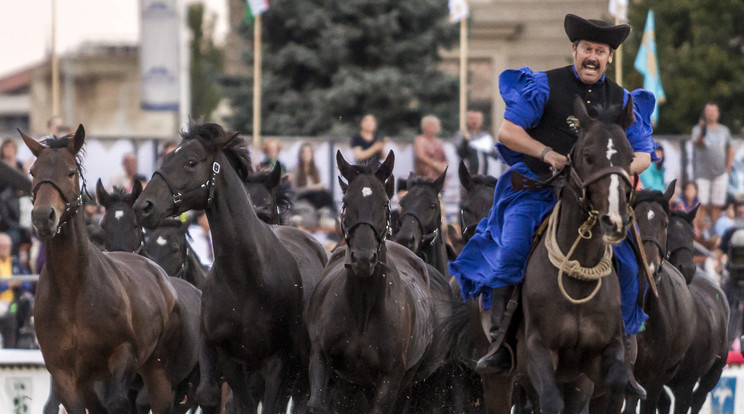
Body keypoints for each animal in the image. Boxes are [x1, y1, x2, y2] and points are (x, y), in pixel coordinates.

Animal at [133, 121, 328, 412]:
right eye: (166, 158)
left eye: (191, 161)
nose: (143, 206)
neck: (245, 278)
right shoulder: (228, 357)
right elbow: (223, 398)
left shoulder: (276, 363)